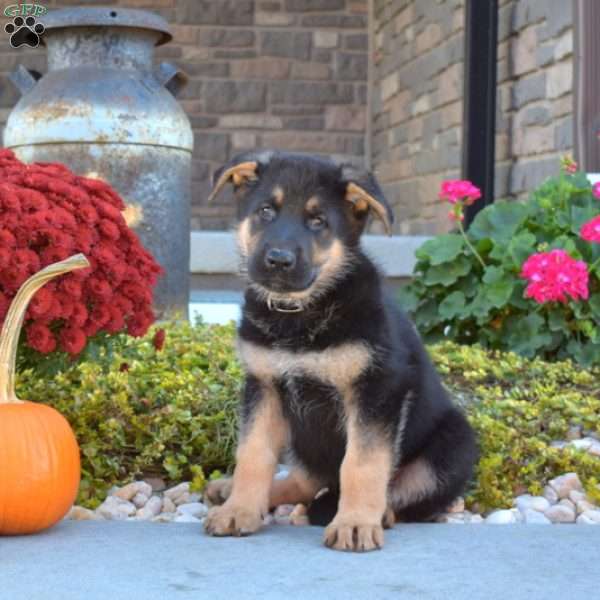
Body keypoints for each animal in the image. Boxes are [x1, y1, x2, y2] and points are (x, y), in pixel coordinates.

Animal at [204, 151, 476, 552]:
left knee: (409, 493)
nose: (279, 260)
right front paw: (239, 510)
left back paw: (380, 514)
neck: (298, 313)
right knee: (304, 480)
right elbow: (253, 454)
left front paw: (355, 522)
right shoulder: (263, 386)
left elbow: (362, 464)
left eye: (318, 222)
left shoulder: (377, 390)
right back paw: (232, 492)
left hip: (453, 446)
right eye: (266, 211)